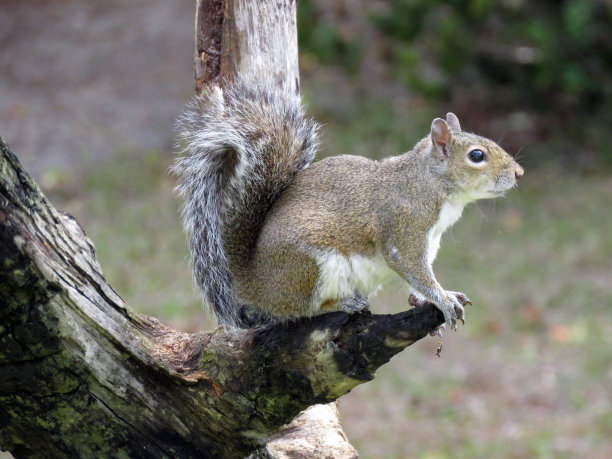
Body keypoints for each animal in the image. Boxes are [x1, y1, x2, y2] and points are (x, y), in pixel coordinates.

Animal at [175, 80, 524, 330]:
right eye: (477, 155)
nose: (519, 173)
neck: (428, 183)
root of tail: (253, 280)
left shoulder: (431, 241)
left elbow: (420, 275)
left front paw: (426, 299)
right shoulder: (404, 227)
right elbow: (412, 267)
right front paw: (444, 299)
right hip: (310, 265)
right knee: (303, 310)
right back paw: (342, 304)